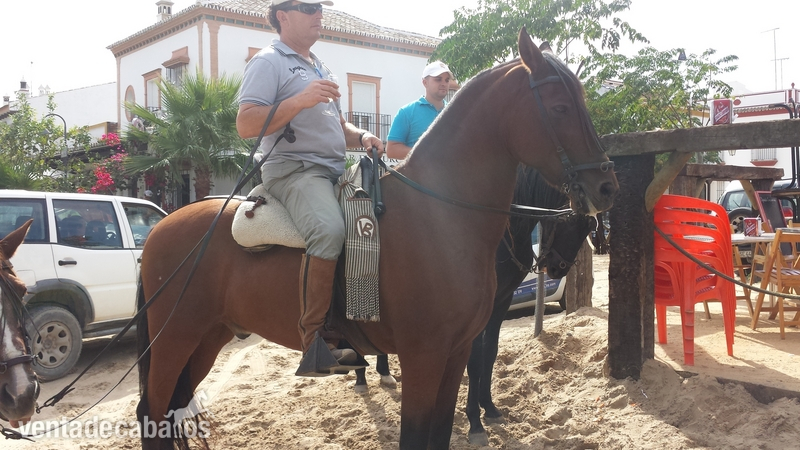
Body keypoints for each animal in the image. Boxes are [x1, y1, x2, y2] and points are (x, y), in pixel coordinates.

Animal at [136, 28, 618, 450]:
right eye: (560, 107)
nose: (606, 186)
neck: (442, 217)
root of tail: (161, 226)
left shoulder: (456, 351)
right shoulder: (424, 356)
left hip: (207, 338)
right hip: (175, 338)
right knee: (153, 411)